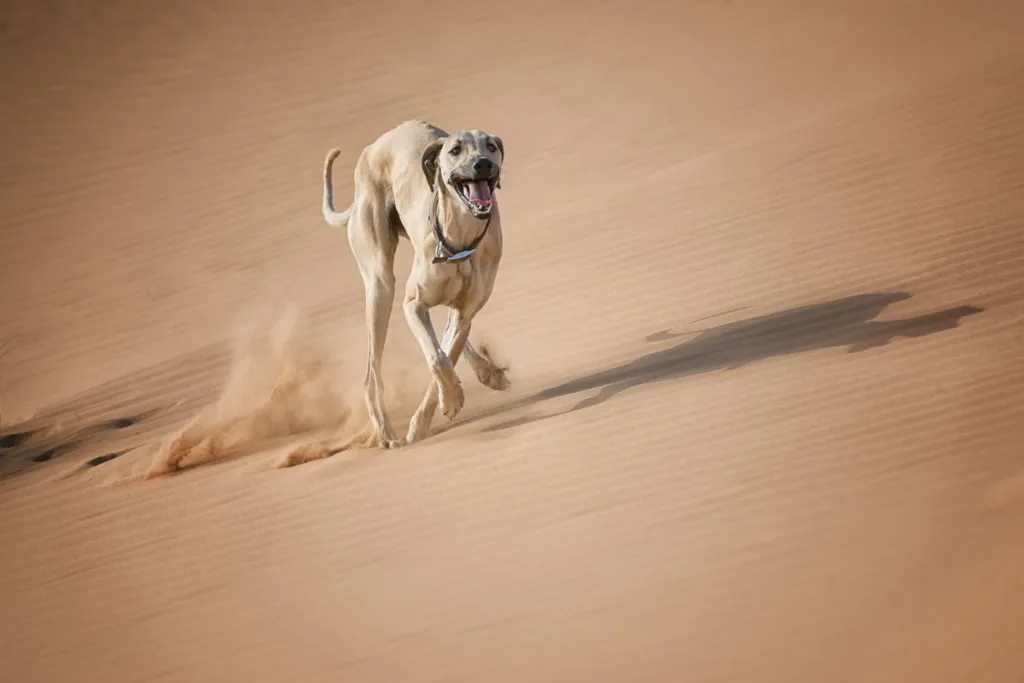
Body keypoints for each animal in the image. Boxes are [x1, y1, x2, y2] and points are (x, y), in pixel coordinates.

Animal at [321, 119, 509, 446]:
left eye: (491, 146)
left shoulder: (465, 313)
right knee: (371, 374)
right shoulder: (413, 304)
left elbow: (446, 354)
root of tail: (375, 146)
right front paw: (449, 402)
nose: (482, 164)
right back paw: (385, 432)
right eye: (455, 150)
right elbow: (436, 358)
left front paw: (433, 413)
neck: (460, 240)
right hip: (380, 285)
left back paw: (489, 372)